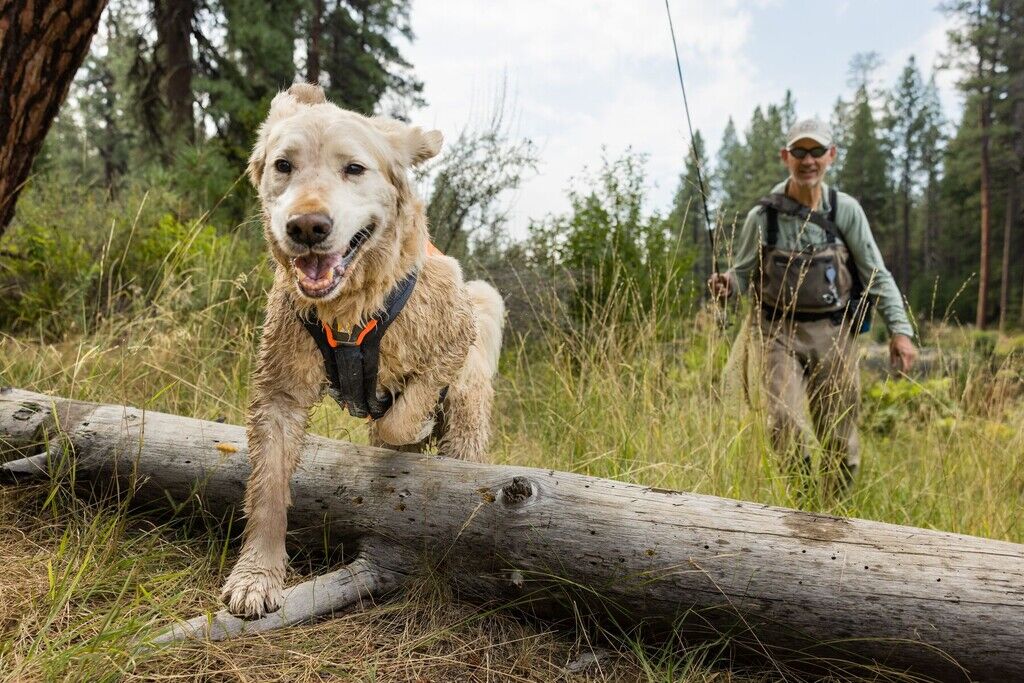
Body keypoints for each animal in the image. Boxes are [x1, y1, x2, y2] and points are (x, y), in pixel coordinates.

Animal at [220, 83, 503, 618]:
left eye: (354, 168)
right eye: (283, 165)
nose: (307, 226)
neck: (348, 309)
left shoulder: (453, 334)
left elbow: (400, 418)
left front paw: (412, 422)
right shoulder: (279, 393)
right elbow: (268, 488)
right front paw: (256, 575)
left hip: (468, 415)